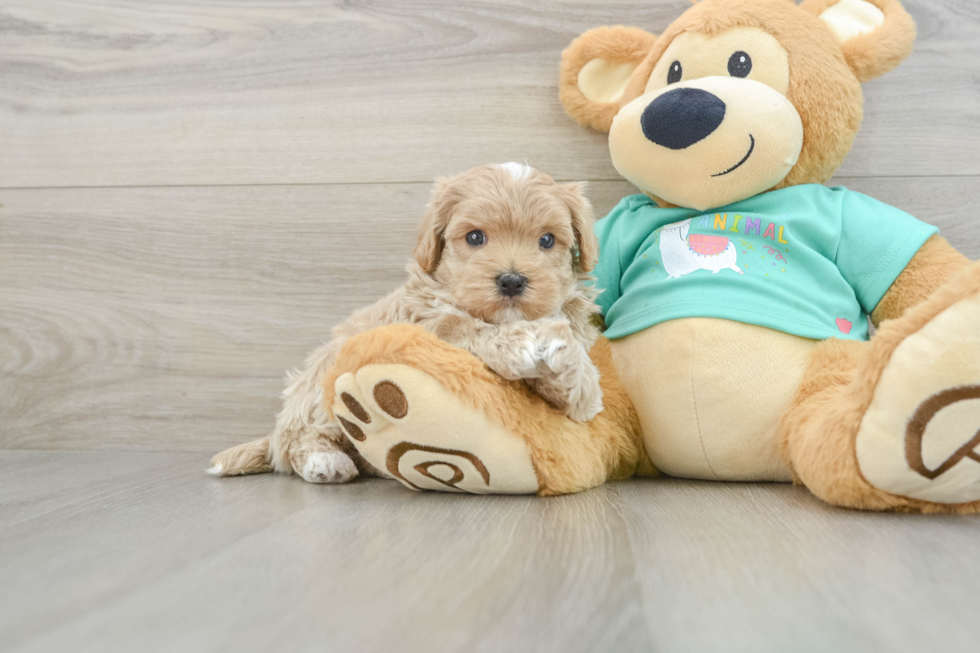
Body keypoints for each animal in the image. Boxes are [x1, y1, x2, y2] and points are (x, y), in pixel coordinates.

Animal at [211, 163, 600, 484]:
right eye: (475, 237)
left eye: (547, 240)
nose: (512, 280)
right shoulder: (429, 324)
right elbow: (467, 328)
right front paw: (521, 341)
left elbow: (575, 393)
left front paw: (572, 367)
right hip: (322, 384)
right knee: (297, 440)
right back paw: (325, 461)